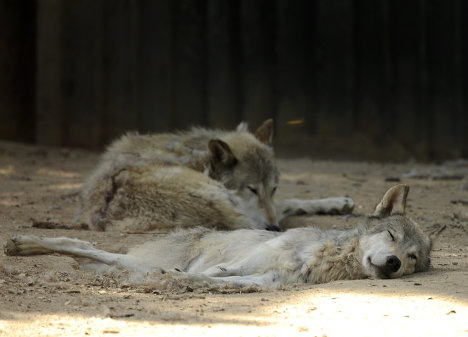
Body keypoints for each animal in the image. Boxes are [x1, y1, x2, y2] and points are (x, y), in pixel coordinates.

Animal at [71, 119, 352, 232]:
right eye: (251, 189)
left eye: (273, 187)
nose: (274, 227)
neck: (199, 159)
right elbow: (284, 205)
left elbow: (289, 202)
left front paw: (337, 203)